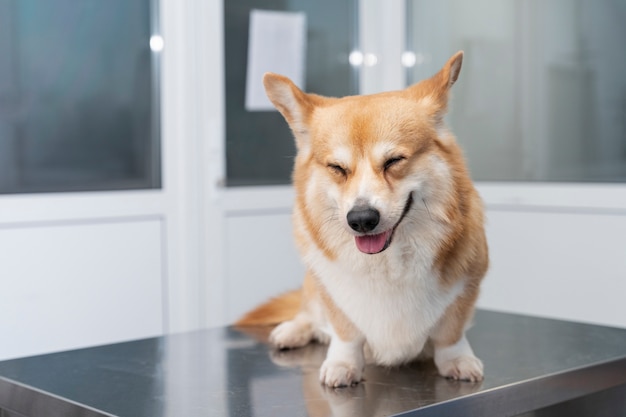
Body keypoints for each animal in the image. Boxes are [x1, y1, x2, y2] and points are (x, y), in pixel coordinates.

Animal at [236, 51, 486, 386]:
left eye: (394, 161)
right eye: (337, 168)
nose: (362, 219)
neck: (386, 263)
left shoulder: (467, 285)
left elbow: (451, 333)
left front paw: (457, 361)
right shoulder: (332, 292)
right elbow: (346, 332)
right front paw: (343, 364)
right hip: (311, 284)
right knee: (308, 313)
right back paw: (292, 331)